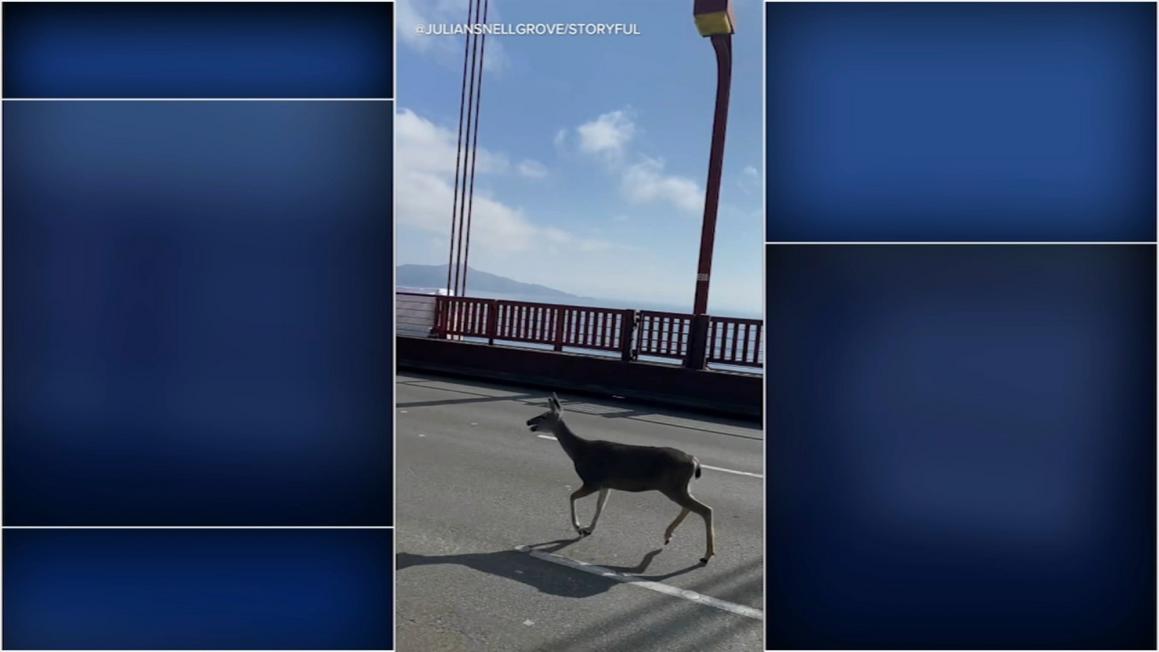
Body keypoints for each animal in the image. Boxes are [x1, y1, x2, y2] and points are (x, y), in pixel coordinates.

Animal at [526, 393, 715, 564]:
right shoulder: (606, 484)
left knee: (705, 509)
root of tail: (694, 460)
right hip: (680, 486)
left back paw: (706, 555)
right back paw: (668, 535)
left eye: (543, 415)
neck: (579, 452)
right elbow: (600, 506)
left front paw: (579, 527)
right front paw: (588, 529)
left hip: (673, 486)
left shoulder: (592, 480)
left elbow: (572, 497)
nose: (528, 422)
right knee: (689, 508)